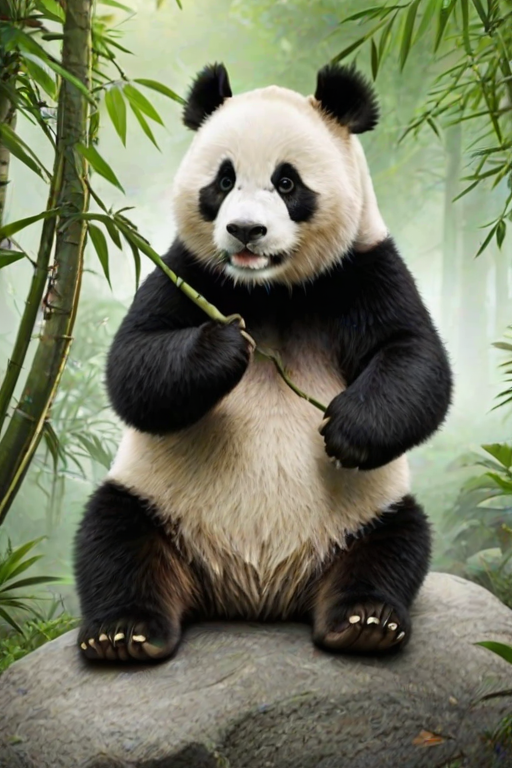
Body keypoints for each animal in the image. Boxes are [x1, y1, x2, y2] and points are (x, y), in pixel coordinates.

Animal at [75, 62, 452, 663]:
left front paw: (347, 430)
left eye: (287, 182)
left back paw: (364, 622)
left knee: (396, 544)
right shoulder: (188, 269)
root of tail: (254, 595)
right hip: (155, 500)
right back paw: (124, 634)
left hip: (367, 512)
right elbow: (133, 363)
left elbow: (413, 356)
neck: (270, 290)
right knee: (114, 536)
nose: (245, 230)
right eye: (224, 181)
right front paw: (225, 347)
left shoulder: (364, 267)